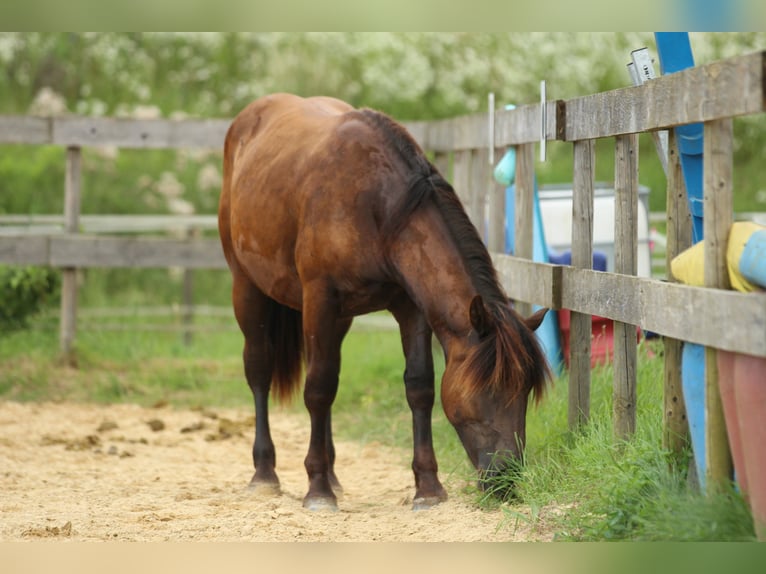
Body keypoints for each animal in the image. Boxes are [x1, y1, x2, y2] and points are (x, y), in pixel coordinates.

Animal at [219, 93, 548, 512]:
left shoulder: (411, 308)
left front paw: (428, 487)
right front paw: (318, 490)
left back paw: (333, 474)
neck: (381, 208)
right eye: (488, 389)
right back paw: (265, 474)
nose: (506, 478)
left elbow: (419, 386)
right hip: (247, 287)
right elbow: (318, 389)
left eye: (524, 391)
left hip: (338, 320)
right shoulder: (320, 300)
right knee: (261, 370)